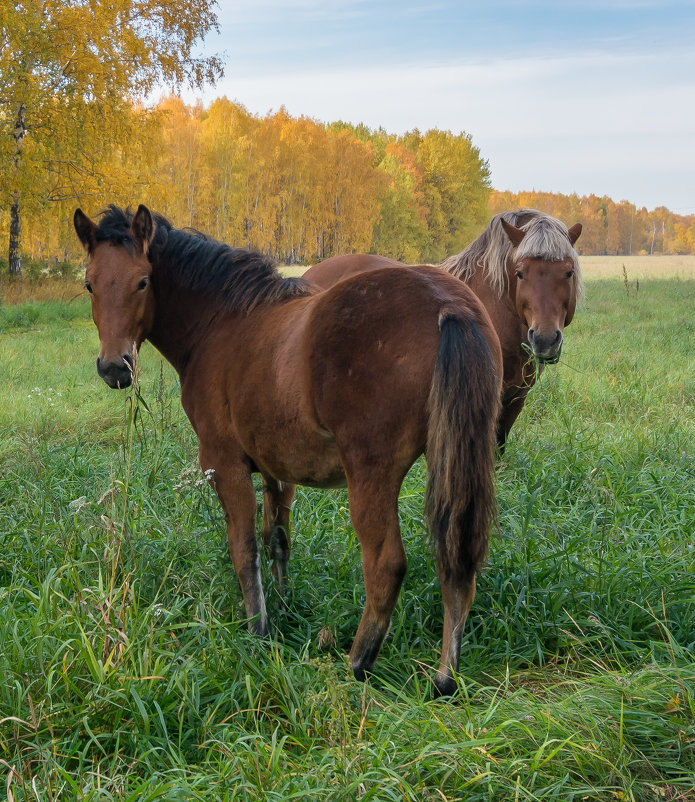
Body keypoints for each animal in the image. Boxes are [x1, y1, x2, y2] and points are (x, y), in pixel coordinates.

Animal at [73, 205, 502, 692]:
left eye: (142, 281)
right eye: (90, 284)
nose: (114, 367)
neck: (222, 323)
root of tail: (446, 303)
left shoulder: (225, 465)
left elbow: (244, 549)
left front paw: (257, 629)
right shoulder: (276, 468)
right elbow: (277, 539)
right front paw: (281, 605)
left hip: (371, 474)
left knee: (386, 564)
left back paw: (358, 662)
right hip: (456, 462)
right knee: (459, 557)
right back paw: (446, 675)